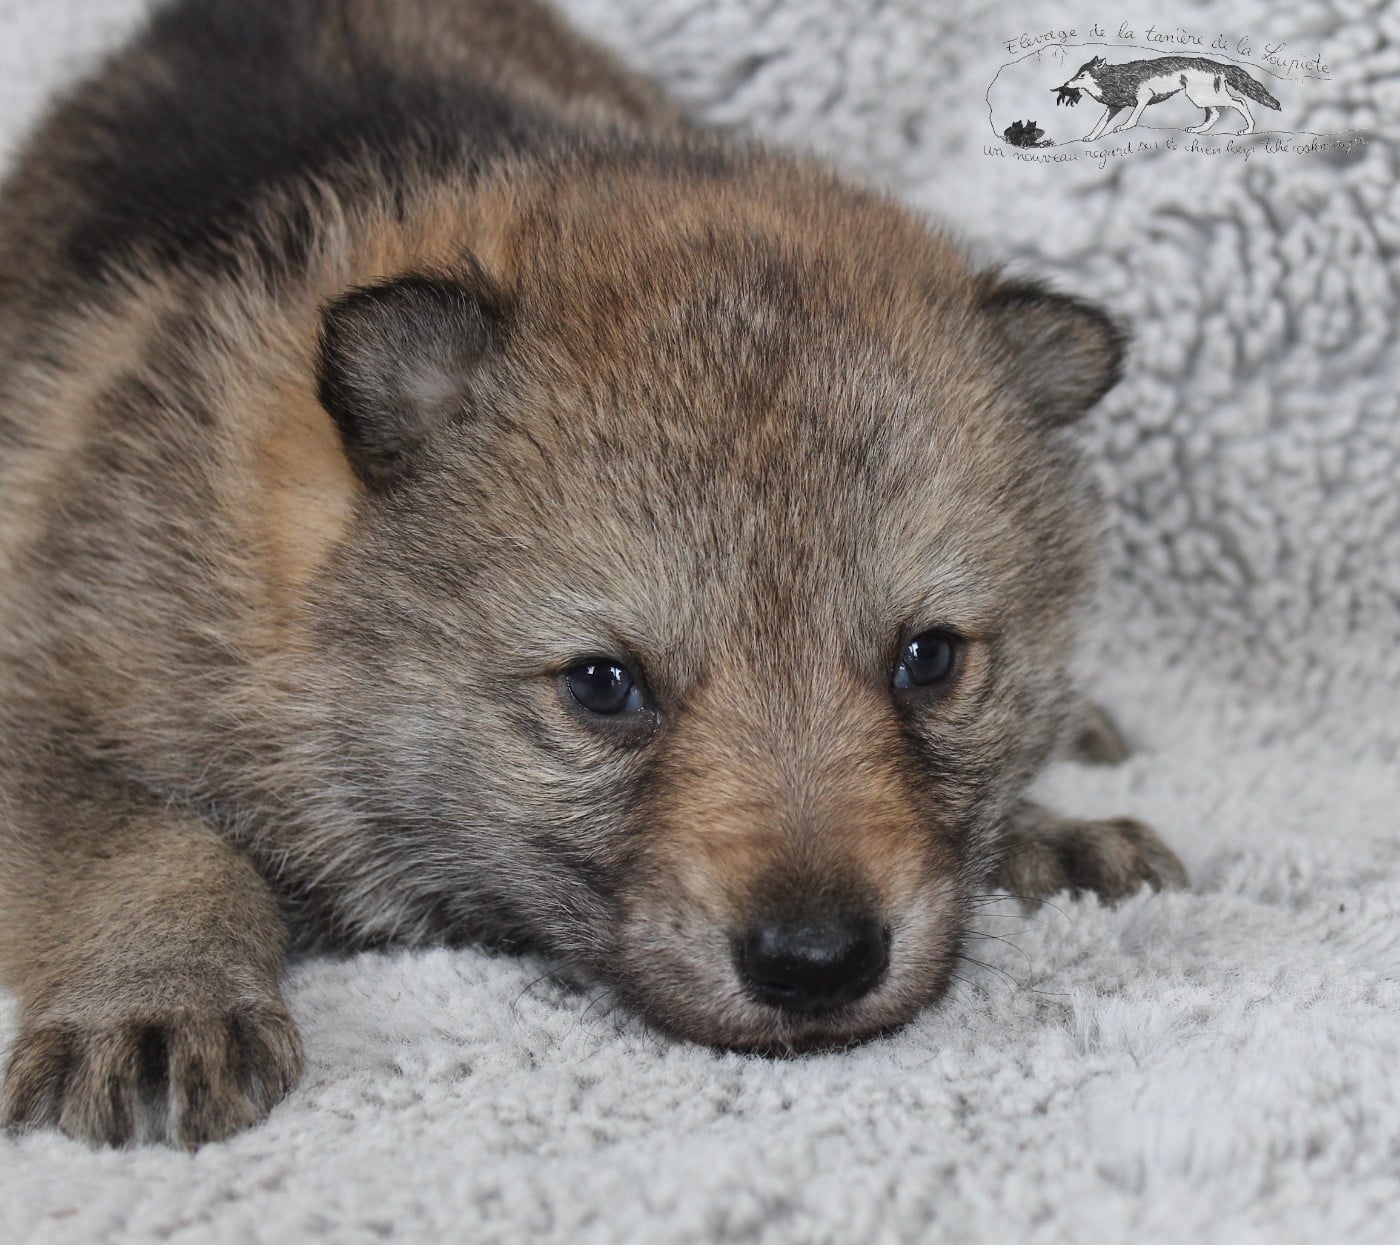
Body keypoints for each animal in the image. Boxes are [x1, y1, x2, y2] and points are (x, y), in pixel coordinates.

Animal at [0, 0, 1185, 1148]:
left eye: (929, 659)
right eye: (601, 685)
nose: (817, 961)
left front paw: (1044, 829)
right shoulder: (48, 680)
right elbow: (154, 839)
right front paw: (158, 994)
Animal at [1058, 54, 1282, 142]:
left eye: (1081, 76)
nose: (1066, 85)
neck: (1114, 78)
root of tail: (1221, 66)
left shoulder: (1143, 97)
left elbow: (1133, 119)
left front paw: (1123, 127)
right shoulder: (1113, 107)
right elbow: (1099, 124)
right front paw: (1090, 137)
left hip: (1201, 97)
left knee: (1239, 102)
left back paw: (1248, 130)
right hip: (1201, 98)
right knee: (1216, 114)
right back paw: (1197, 130)